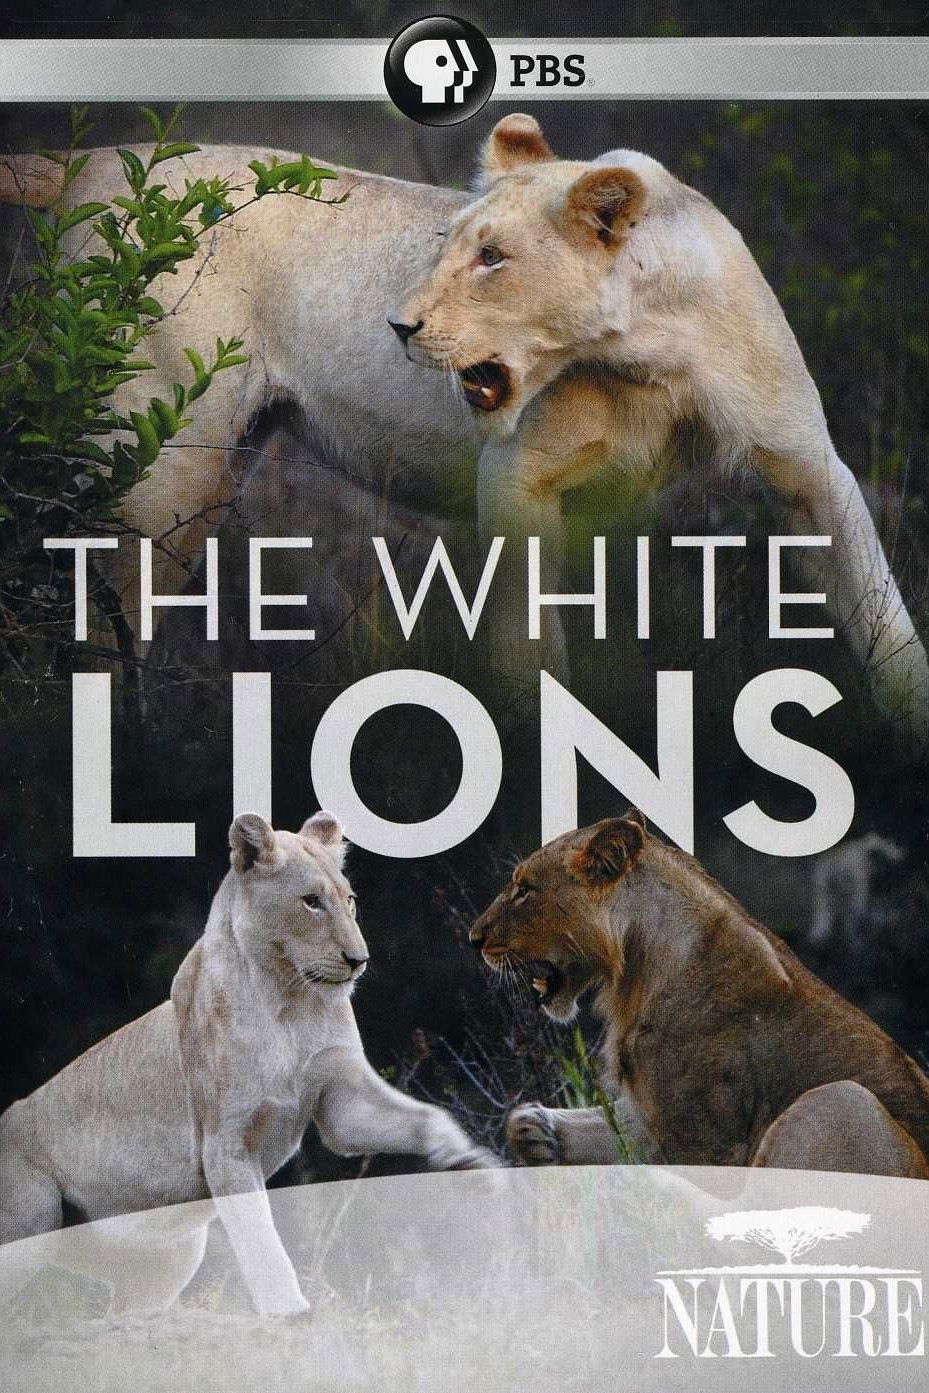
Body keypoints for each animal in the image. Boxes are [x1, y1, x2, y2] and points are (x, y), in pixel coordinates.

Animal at [0, 811, 497, 1316]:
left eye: (349, 901)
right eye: (311, 902)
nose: (358, 960)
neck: (291, 1001)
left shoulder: (341, 1104)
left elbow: (426, 1117)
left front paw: (471, 1165)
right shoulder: (226, 1145)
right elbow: (261, 1240)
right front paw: (291, 1312)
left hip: (165, 1261)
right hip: (31, 1223)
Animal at [1, 118, 925, 747]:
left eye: (493, 257)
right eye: (446, 245)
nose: (397, 325)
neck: (645, 353)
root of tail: (85, 164)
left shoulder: (805, 465)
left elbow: (879, 606)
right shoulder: (517, 477)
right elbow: (529, 644)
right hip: (160, 455)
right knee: (98, 614)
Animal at [469, 810, 929, 1179]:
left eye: (524, 890)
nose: (474, 938)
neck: (636, 973)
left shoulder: (709, 1142)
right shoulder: (648, 1118)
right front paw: (529, 1129)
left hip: (840, 1100)